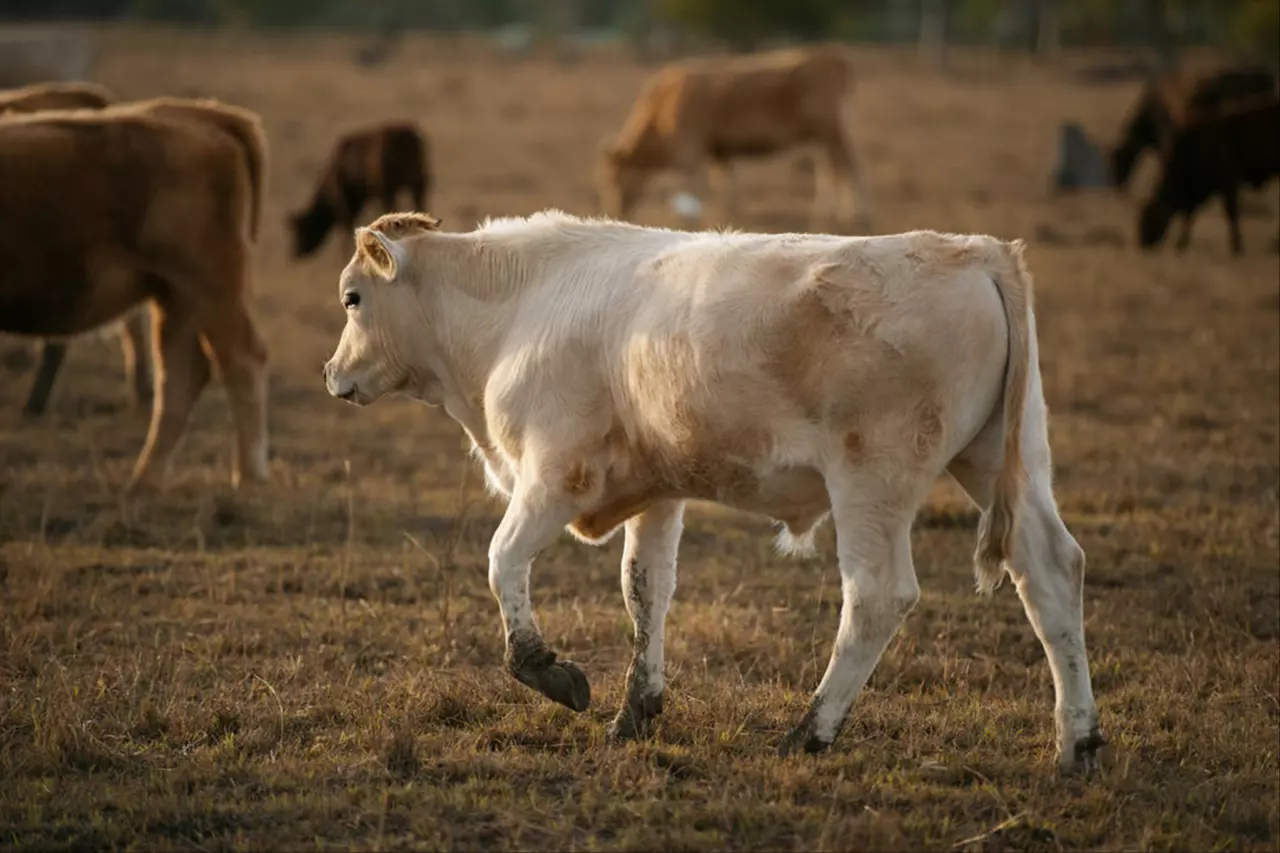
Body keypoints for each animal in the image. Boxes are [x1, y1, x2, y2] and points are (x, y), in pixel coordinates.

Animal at [0, 94, 270, 489]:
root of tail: (205, 114)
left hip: (209, 283)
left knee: (239, 360)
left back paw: (247, 478)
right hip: (173, 295)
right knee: (179, 375)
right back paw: (144, 479)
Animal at [286, 120, 430, 256]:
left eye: (301, 229)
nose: (295, 253)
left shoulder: (343, 204)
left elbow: (346, 228)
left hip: (390, 190)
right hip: (418, 185)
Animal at [593, 42, 875, 229]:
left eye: (613, 179)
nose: (614, 213)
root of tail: (831, 56)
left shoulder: (689, 153)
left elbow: (696, 190)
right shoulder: (719, 153)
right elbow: (726, 185)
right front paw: (728, 218)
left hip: (832, 130)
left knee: (848, 166)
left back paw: (853, 215)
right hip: (820, 136)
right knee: (831, 169)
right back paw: (827, 214)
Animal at [1141, 98, 1280, 253]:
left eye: (1149, 218)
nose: (1144, 243)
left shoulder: (1228, 185)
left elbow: (1232, 215)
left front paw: (1237, 247)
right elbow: (1190, 215)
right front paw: (1181, 243)